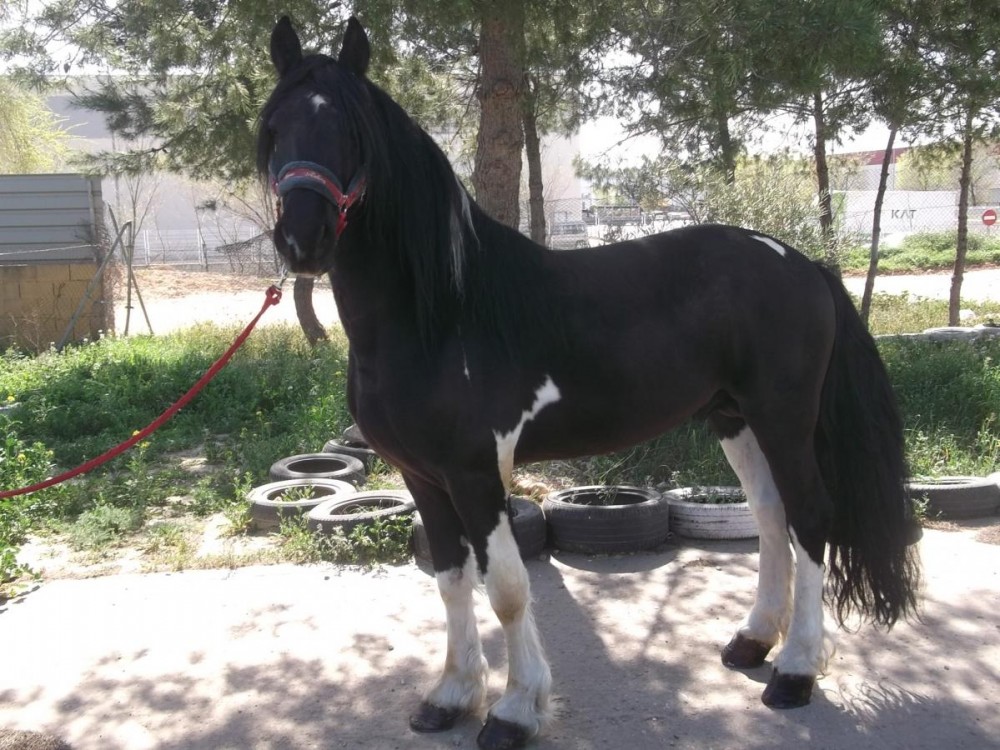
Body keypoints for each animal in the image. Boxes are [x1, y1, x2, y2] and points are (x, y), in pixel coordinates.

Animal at [258, 16, 920, 750]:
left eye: (352, 130)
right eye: (274, 126)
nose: (303, 238)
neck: (440, 312)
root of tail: (804, 264)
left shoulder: (474, 472)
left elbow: (507, 588)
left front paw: (514, 710)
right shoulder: (421, 476)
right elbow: (451, 580)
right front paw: (451, 696)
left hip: (785, 418)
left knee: (810, 519)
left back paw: (795, 672)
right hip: (734, 418)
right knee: (772, 517)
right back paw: (752, 643)